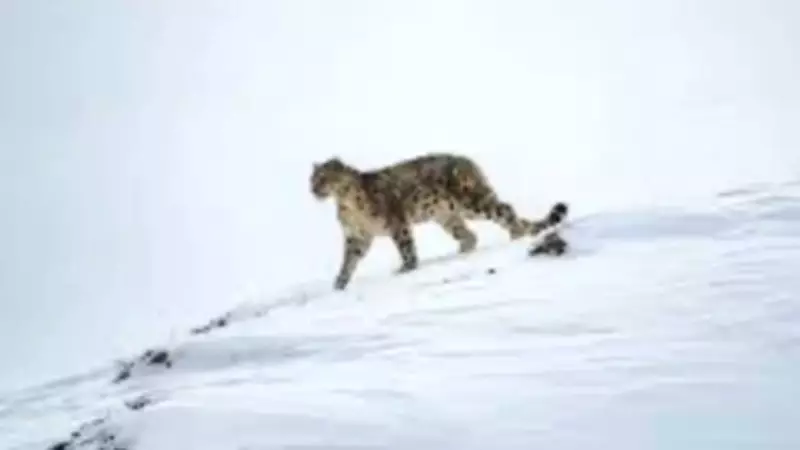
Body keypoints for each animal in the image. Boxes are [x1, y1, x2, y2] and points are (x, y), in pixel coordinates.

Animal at [309, 152, 569, 290]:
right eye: (311, 179)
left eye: (323, 178)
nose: (312, 190)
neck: (347, 205)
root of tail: (468, 162)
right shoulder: (357, 236)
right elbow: (349, 260)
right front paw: (339, 283)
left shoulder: (396, 222)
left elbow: (406, 248)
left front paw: (406, 268)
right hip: (447, 216)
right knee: (469, 235)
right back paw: (461, 253)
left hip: (473, 204)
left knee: (505, 209)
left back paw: (516, 235)